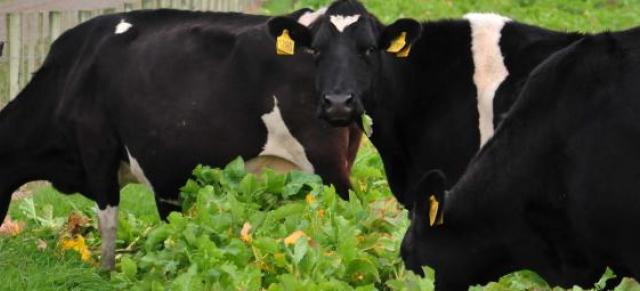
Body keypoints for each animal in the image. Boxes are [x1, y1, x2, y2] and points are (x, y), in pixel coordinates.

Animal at [0, 8, 360, 270]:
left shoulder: (98, 151)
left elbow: (108, 221)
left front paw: (106, 272)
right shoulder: (168, 176)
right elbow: (172, 228)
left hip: (327, 165)